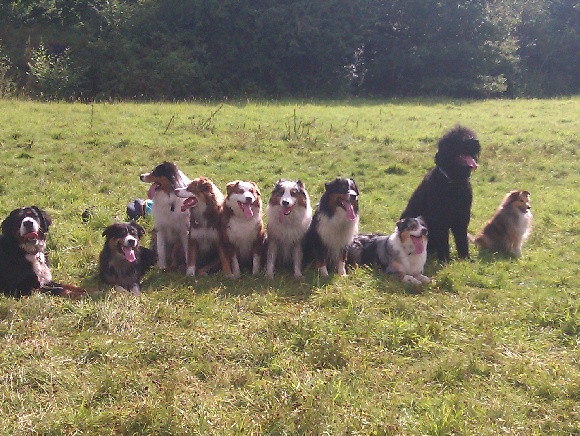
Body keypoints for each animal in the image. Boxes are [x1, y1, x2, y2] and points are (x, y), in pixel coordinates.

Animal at [400, 126, 480, 262]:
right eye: (458, 139)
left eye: (470, 134)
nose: (475, 141)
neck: (453, 182)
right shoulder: (440, 219)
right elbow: (444, 241)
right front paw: (445, 260)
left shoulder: (462, 216)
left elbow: (462, 239)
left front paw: (465, 258)